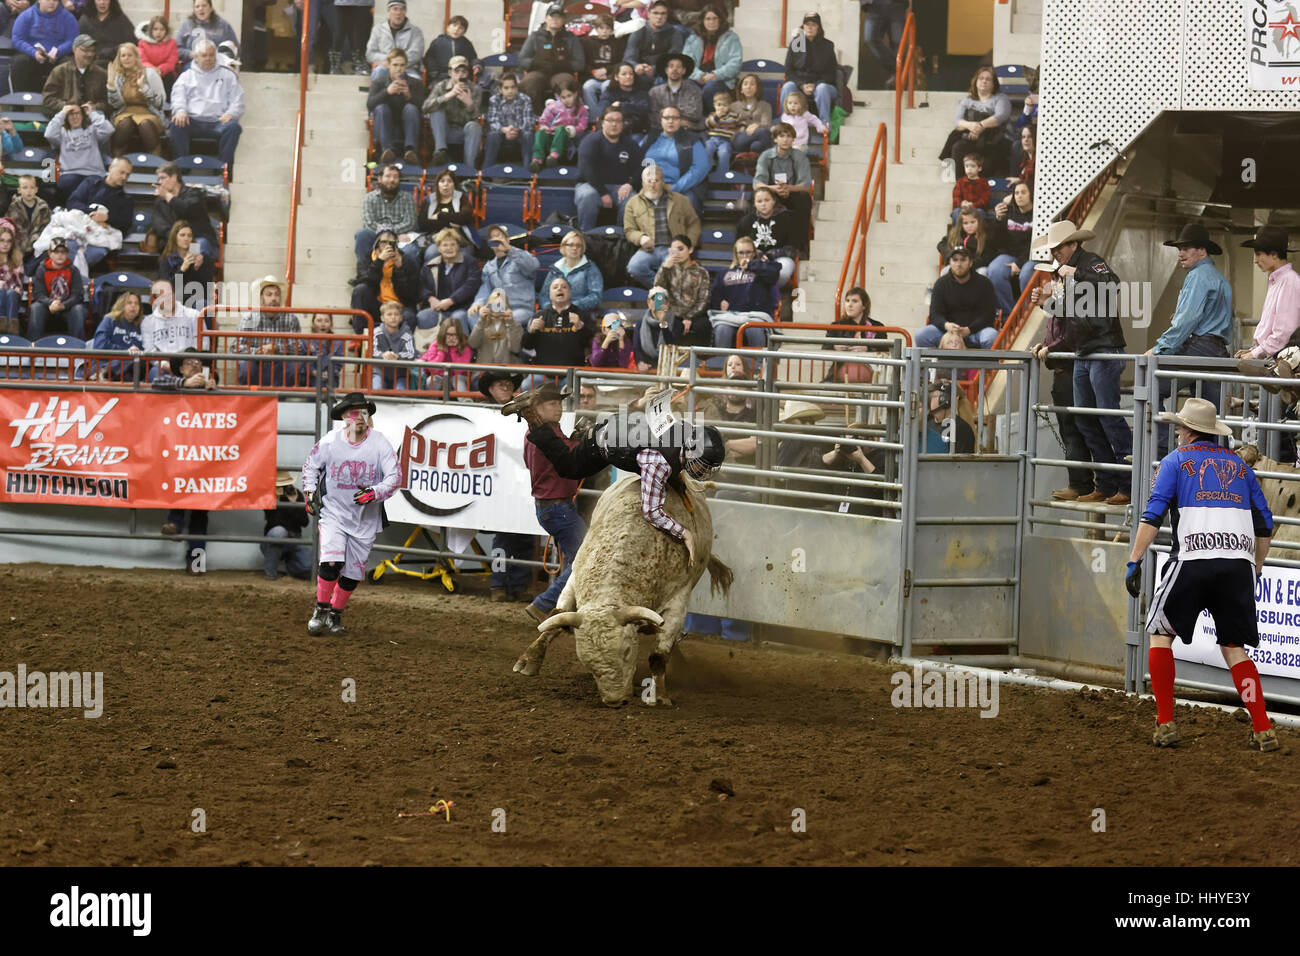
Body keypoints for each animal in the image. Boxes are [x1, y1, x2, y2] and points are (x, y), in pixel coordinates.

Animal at [509, 476, 733, 707]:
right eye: (586, 662)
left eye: (627, 651)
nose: (614, 701)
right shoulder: (574, 577)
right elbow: (557, 617)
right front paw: (528, 660)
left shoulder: (678, 600)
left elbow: (658, 656)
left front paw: (659, 695)